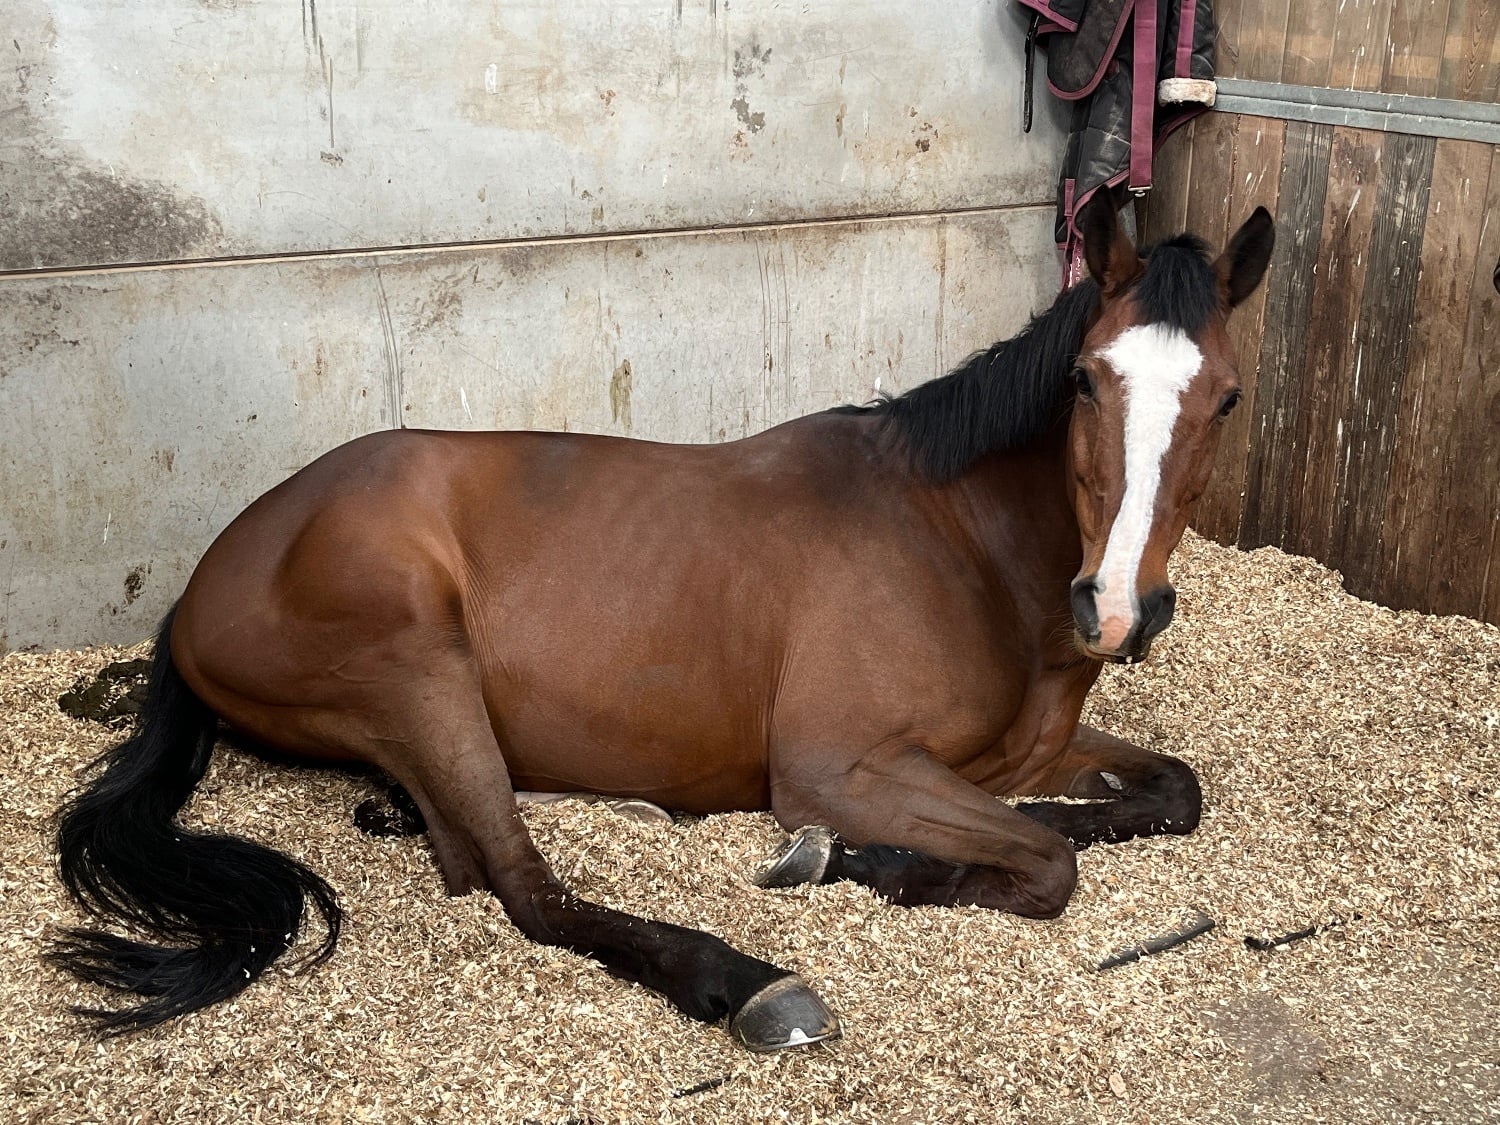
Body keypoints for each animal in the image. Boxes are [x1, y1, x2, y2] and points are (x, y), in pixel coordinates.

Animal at [50, 194, 1273, 1052]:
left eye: (1227, 398)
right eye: (1084, 381)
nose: (1116, 609)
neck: (956, 537)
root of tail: (209, 573)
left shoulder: (1020, 754)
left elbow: (1167, 796)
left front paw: (878, 856)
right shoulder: (841, 767)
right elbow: (1044, 863)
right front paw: (862, 861)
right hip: (416, 664)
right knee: (518, 886)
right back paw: (751, 985)